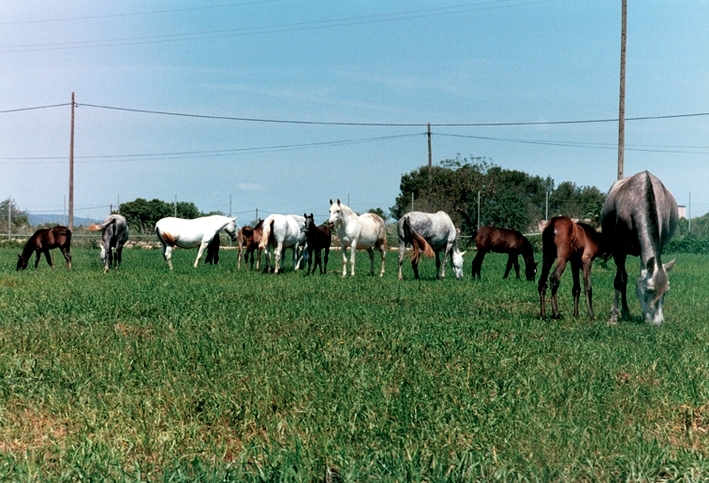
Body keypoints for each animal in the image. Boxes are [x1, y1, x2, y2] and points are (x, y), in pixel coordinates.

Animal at [600, 170, 676, 326]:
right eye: (650, 289)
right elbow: (620, 281)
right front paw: (613, 316)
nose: (657, 322)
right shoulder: (619, 250)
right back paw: (623, 312)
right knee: (623, 278)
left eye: (666, 291)